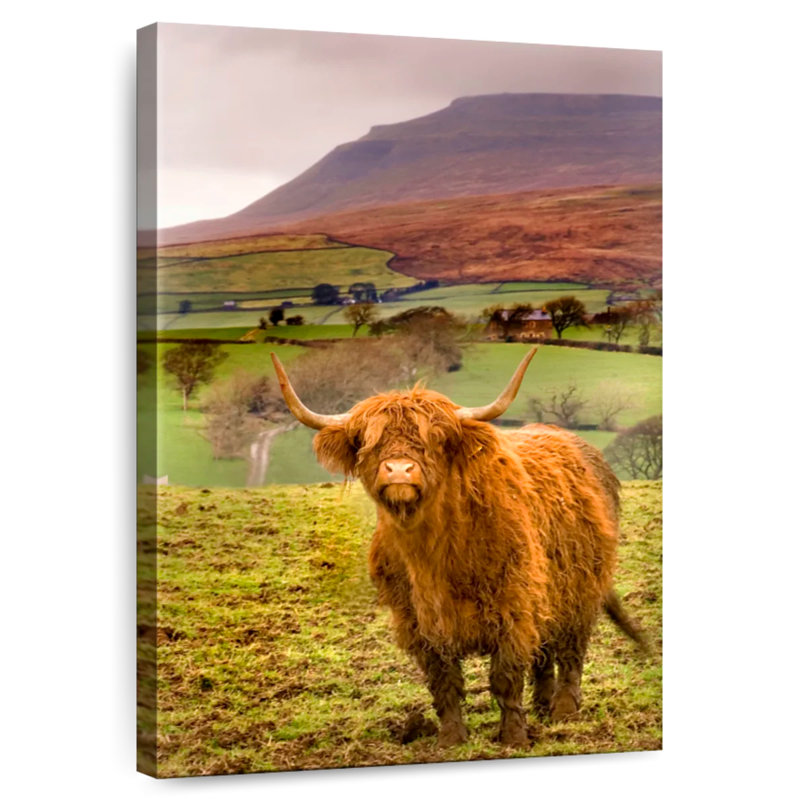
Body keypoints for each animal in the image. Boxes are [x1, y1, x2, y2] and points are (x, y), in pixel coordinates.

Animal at [270, 348, 645, 748]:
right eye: (368, 441)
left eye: (434, 439)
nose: (399, 470)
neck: (433, 554)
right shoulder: (417, 620)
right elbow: (444, 681)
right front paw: (451, 738)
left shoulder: (514, 606)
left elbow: (506, 677)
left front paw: (513, 737)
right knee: (544, 653)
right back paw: (542, 707)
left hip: (582, 588)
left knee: (571, 651)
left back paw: (563, 711)